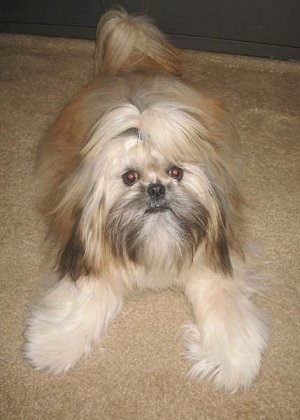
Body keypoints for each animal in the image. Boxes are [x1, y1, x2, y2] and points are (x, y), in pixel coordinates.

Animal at [24, 8, 268, 392]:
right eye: (129, 177)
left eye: (175, 172)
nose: (156, 190)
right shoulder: (93, 256)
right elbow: (85, 299)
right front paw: (54, 346)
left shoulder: (214, 260)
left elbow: (223, 304)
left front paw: (233, 360)